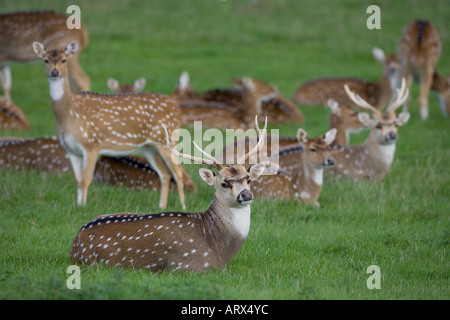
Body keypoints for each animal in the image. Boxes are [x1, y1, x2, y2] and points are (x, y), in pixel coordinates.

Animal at [32, 40, 185, 209]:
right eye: (45, 60)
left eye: (64, 60)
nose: (54, 72)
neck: (70, 116)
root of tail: (177, 107)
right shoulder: (71, 149)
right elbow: (78, 180)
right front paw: (78, 205)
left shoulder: (91, 143)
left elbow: (86, 179)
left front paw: (83, 206)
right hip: (149, 146)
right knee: (164, 173)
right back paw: (161, 206)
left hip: (167, 139)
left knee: (178, 171)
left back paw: (183, 206)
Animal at [70, 116, 268, 272]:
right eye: (224, 183)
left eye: (248, 179)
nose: (246, 195)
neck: (218, 250)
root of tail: (75, 244)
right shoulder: (185, 266)